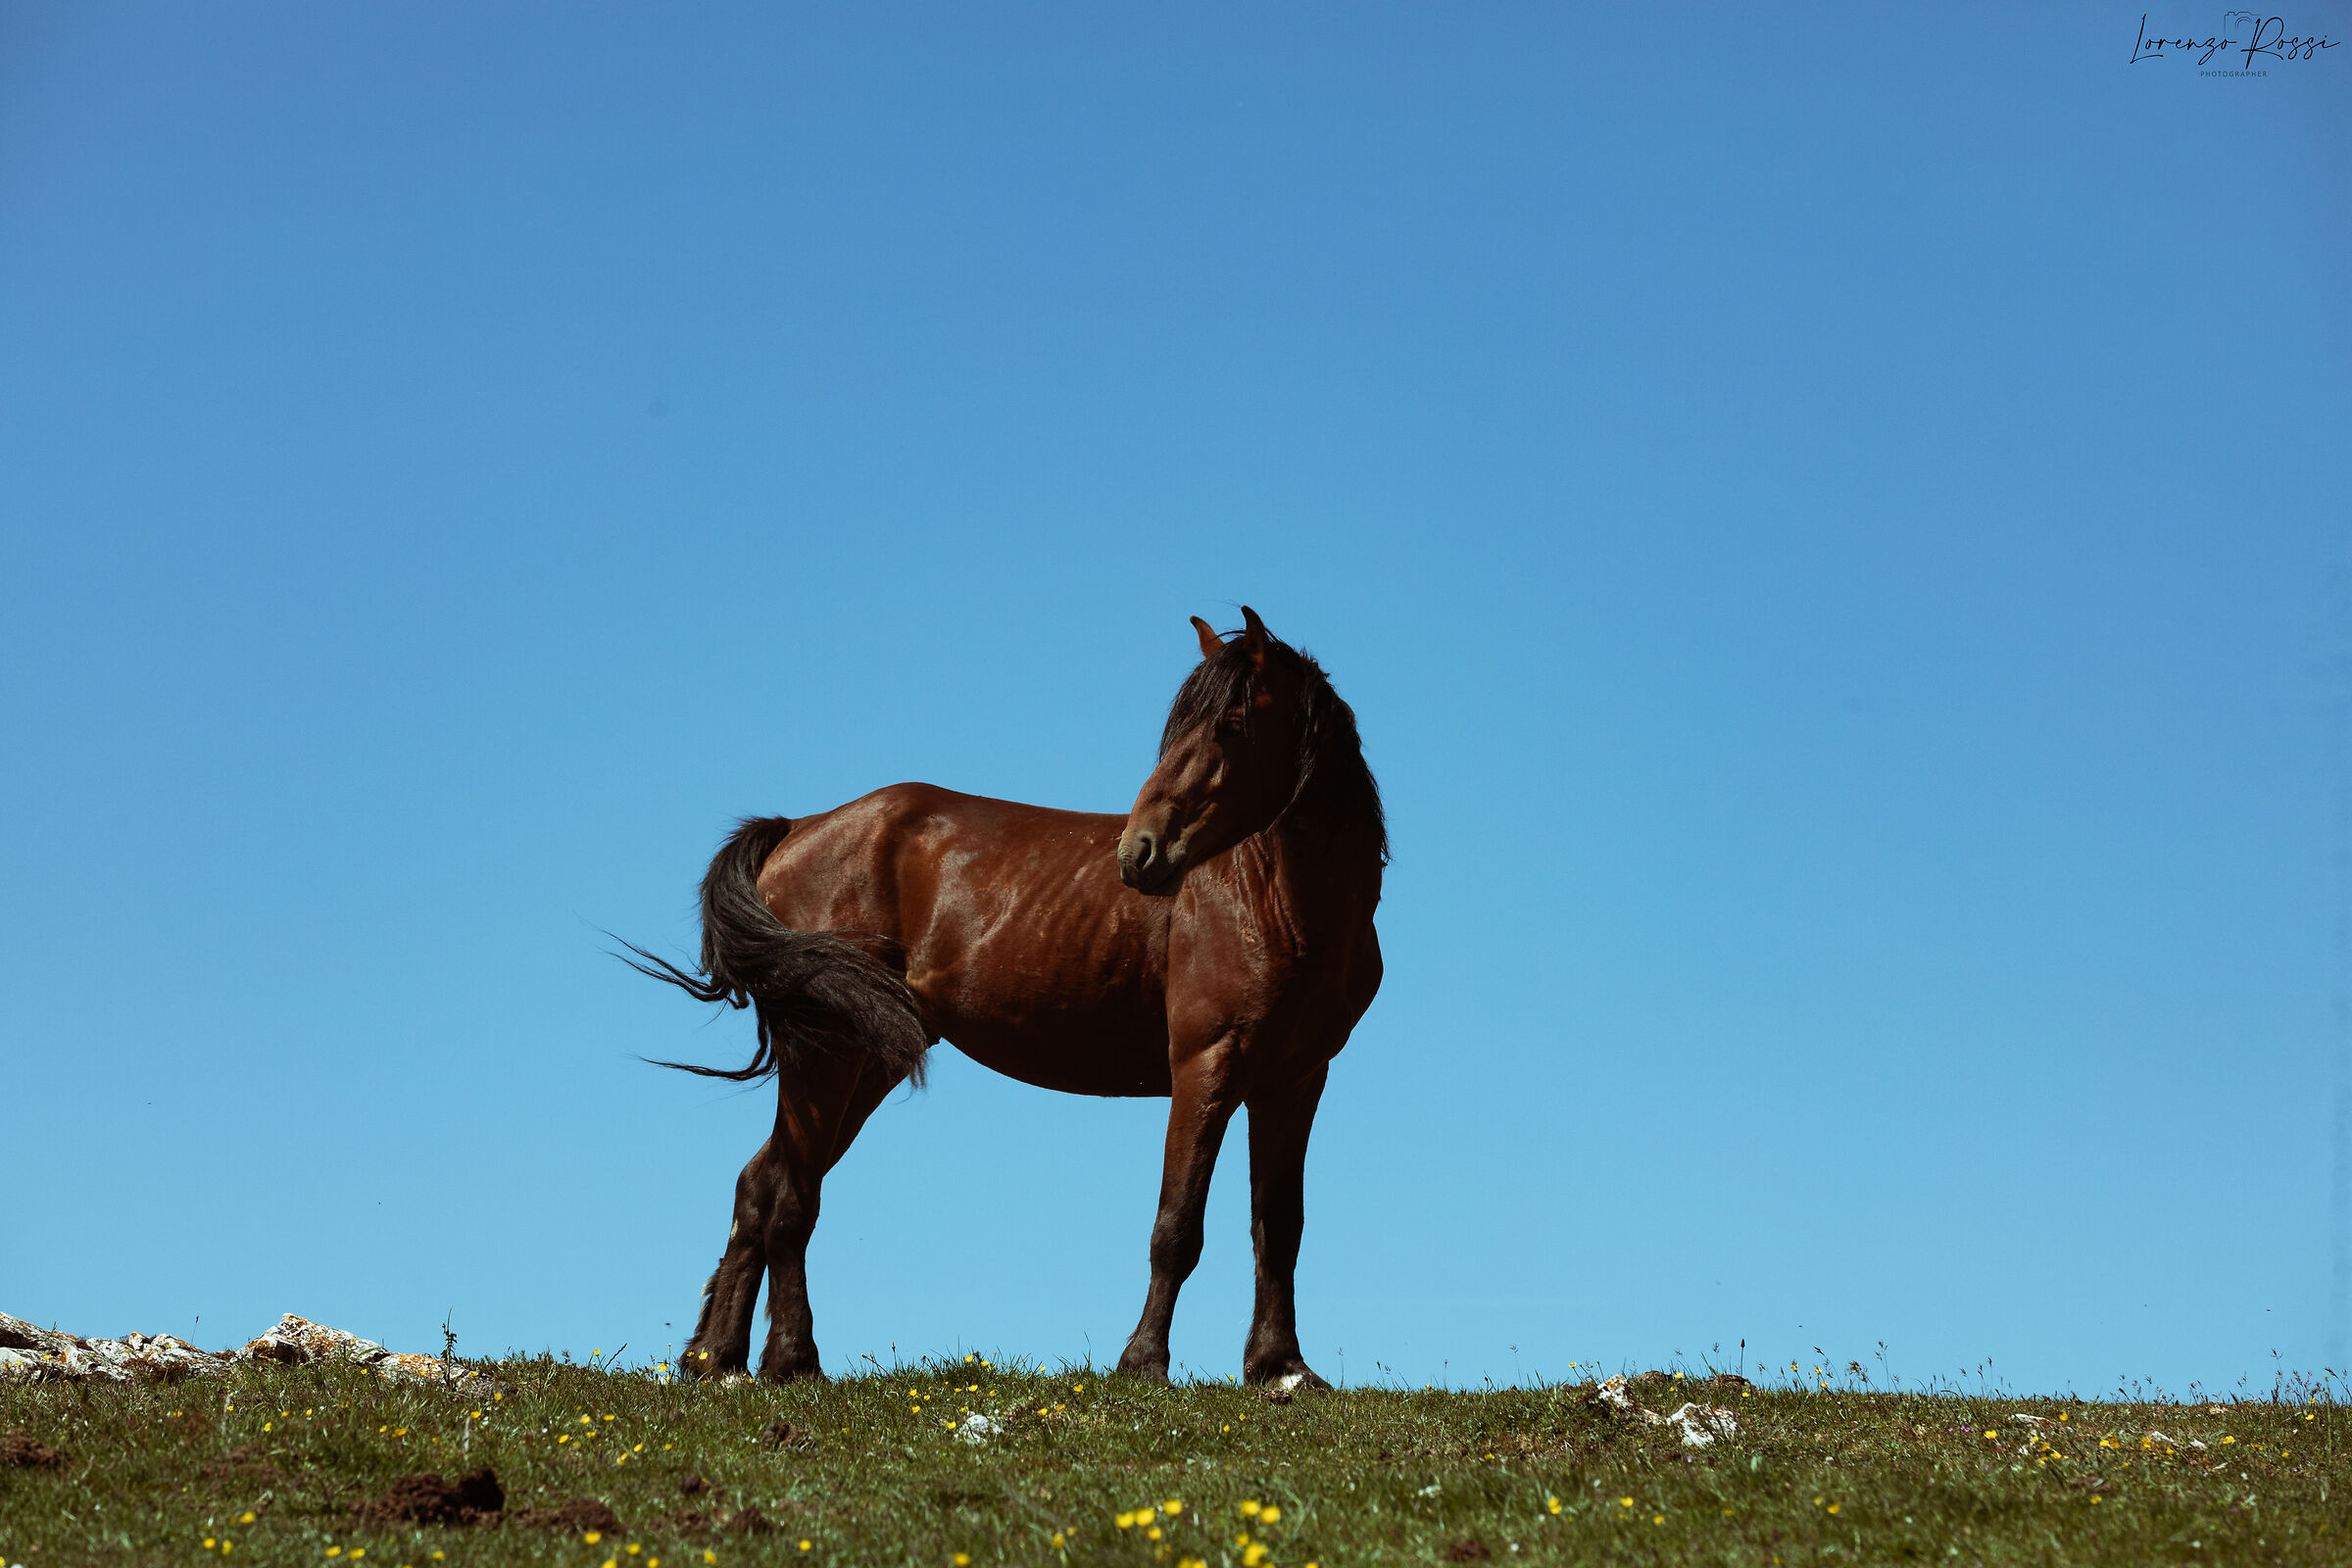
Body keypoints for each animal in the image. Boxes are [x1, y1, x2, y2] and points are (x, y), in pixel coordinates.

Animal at [624, 607, 1386, 1387]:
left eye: (1231, 726)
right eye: (1179, 730)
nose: (1138, 853)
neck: (1271, 904)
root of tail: (796, 830)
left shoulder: (1293, 1081)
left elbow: (1279, 1226)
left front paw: (1281, 1368)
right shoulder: (1205, 1067)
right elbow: (1177, 1226)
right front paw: (1144, 1362)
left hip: (868, 1061)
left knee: (761, 1184)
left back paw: (716, 1359)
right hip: (827, 1053)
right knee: (790, 1200)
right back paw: (792, 1360)